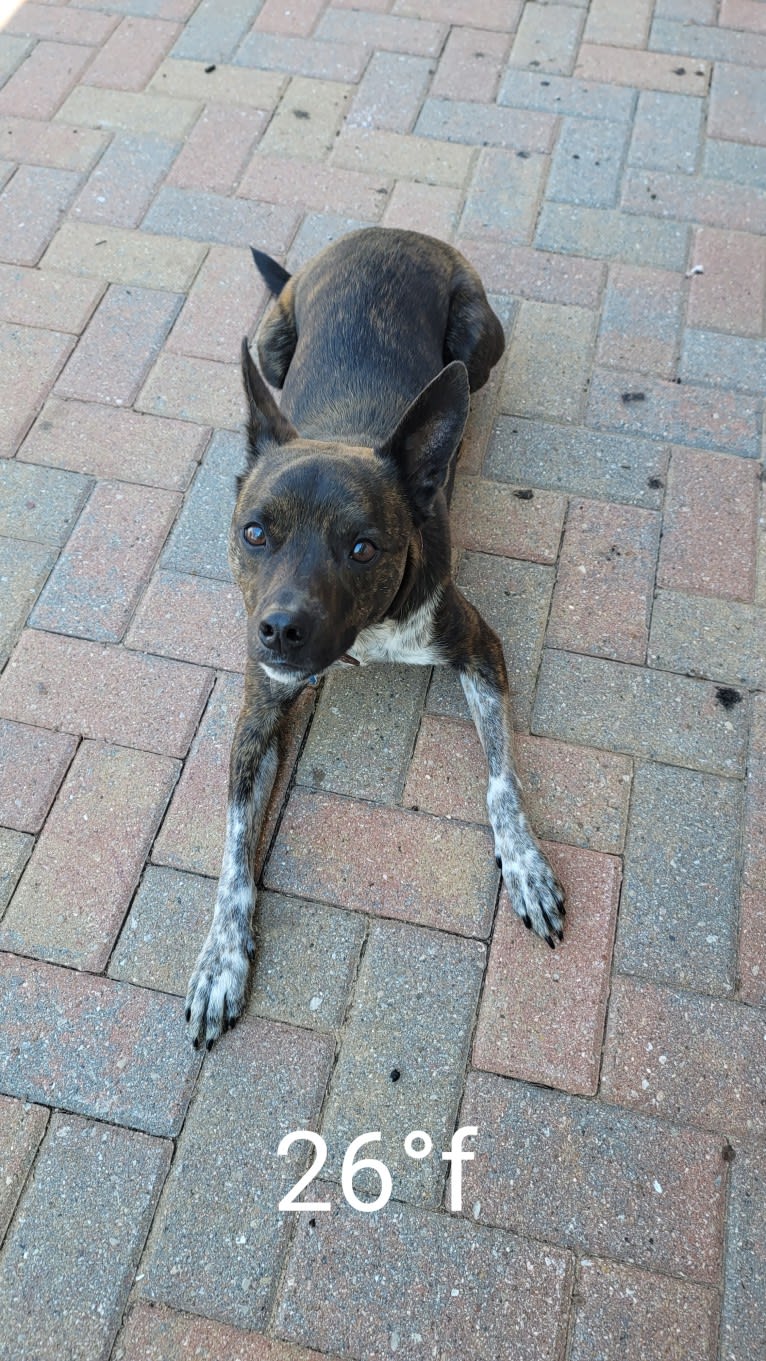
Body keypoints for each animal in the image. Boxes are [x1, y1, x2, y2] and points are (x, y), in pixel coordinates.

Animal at [187, 228, 563, 1045]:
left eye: (363, 548)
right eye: (255, 533)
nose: (281, 631)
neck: (367, 632)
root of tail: (391, 233)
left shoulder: (478, 644)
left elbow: (501, 779)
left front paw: (523, 863)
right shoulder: (259, 711)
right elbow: (232, 852)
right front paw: (220, 957)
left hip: (477, 337)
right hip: (272, 345)